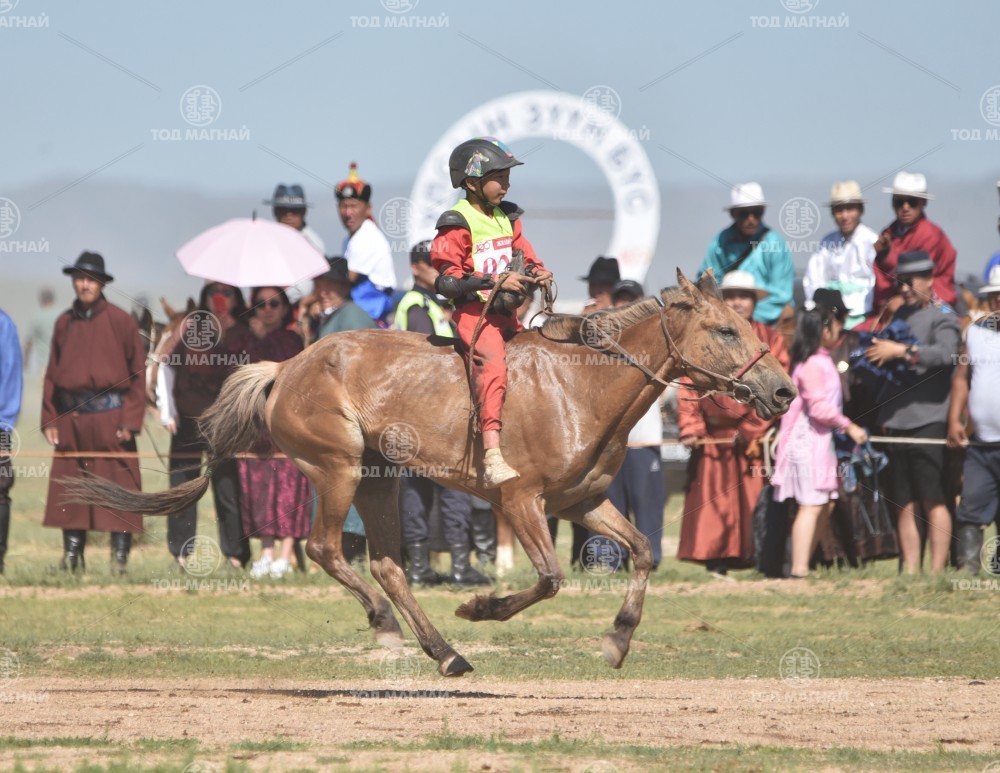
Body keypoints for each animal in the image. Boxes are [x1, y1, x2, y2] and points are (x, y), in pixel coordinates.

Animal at [65, 270, 795, 677]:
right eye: (725, 330)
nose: (784, 389)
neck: (580, 385)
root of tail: (285, 367)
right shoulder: (521, 500)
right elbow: (548, 579)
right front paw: (481, 605)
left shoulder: (580, 502)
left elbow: (643, 550)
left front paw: (616, 642)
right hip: (337, 469)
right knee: (326, 548)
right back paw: (389, 623)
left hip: (380, 479)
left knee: (388, 562)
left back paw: (445, 651)